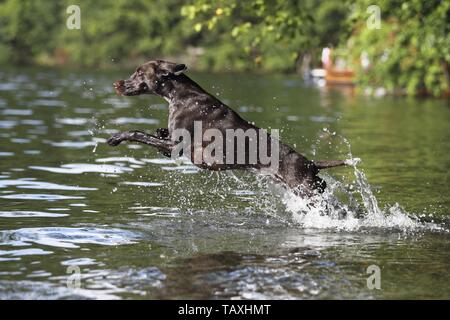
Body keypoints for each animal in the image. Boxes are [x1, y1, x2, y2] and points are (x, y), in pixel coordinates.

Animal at [107, 58, 346, 196]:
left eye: (139, 73)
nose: (116, 84)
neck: (181, 95)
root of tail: (311, 164)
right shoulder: (172, 147)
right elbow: (156, 133)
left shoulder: (175, 146)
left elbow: (137, 132)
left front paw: (116, 137)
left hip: (306, 191)